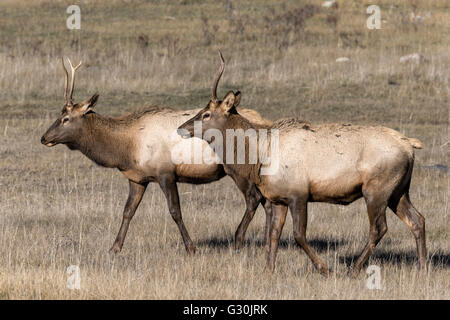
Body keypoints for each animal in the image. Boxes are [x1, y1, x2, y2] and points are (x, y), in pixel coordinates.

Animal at [42, 57, 272, 256]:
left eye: (66, 118)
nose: (44, 138)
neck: (125, 149)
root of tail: (266, 122)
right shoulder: (137, 178)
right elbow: (128, 211)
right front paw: (114, 248)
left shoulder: (166, 173)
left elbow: (175, 211)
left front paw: (191, 247)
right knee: (266, 200)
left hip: (239, 169)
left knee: (254, 198)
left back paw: (239, 241)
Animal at [178, 53, 428, 276]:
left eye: (206, 114)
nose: (181, 128)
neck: (259, 156)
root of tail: (410, 145)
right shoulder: (278, 198)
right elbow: (274, 234)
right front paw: (269, 270)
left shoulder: (298, 194)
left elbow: (298, 235)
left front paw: (325, 269)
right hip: (399, 191)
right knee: (417, 220)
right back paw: (422, 268)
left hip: (376, 190)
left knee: (379, 228)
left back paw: (353, 268)